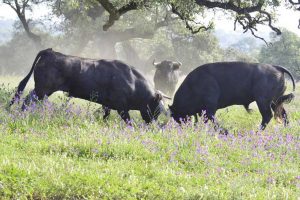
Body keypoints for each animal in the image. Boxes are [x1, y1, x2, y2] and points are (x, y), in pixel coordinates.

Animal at [9, 48, 169, 123]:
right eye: (157, 108)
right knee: (27, 100)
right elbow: (128, 121)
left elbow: (105, 116)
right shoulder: (122, 108)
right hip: (42, 90)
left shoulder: (108, 105)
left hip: (42, 91)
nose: (151, 124)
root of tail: (50, 52)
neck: (133, 81)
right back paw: (22, 115)